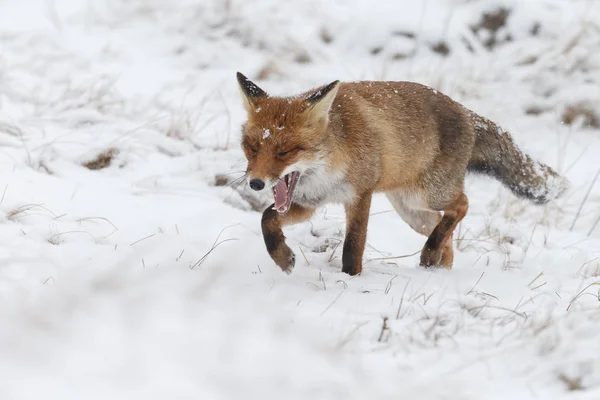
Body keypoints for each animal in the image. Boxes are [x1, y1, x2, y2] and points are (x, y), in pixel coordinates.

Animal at [237, 72, 568, 276]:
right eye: (252, 146)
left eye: (285, 152)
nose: (256, 183)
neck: (328, 165)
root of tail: (465, 112)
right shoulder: (308, 203)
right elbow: (267, 219)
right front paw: (282, 257)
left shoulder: (361, 195)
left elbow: (353, 247)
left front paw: (349, 280)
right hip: (412, 212)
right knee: (444, 230)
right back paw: (437, 266)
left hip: (429, 194)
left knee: (461, 205)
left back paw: (430, 254)